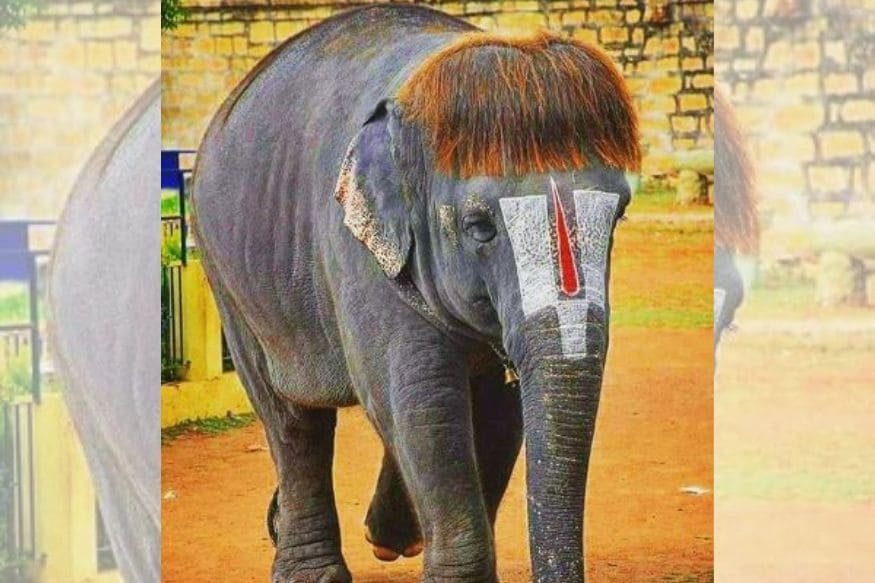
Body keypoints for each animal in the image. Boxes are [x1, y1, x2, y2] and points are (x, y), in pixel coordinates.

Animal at [192, 5, 640, 583]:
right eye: (478, 227)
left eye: (620, 214)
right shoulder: (354, 250)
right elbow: (423, 400)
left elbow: (498, 407)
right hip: (226, 272)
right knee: (289, 417)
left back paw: (382, 534)